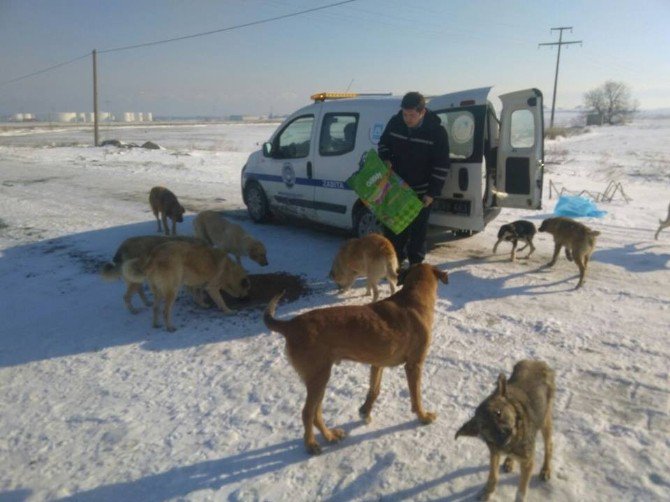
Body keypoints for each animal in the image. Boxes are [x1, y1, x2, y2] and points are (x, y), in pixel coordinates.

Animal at [123, 240, 252, 332]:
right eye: (247, 289)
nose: (247, 298)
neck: (230, 272)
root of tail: (153, 257)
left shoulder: (198, 284)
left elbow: (198, 295)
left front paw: (202, 304)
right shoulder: (212, 288)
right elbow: (221, 301)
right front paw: (228, 311)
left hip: (159, 292)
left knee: (155, 308)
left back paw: (156, 325)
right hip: (172, 290)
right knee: (165, 311)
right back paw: (170, 327)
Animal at [266, 264, 448, 452]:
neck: (413, 296)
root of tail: (290, 325)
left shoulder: (378, 364)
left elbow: (374, 390)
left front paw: (365, 411)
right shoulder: (414, 365)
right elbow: (416, 396)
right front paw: (423, 416)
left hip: (320, 378)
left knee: (316, 413)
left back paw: (330, 436)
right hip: (318, 377)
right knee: (307, 413)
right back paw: (311, 444)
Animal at [456, 360, 556, 502]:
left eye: (498, 413)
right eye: (484, 426)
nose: (503, 435)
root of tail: (536, 361)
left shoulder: (528, 461)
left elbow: (521, 491)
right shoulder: (494, 452)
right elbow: (493, 475)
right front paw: (487, 493)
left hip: (544, 419)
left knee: (549, 446)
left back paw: (545, 469)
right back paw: (509, 461)